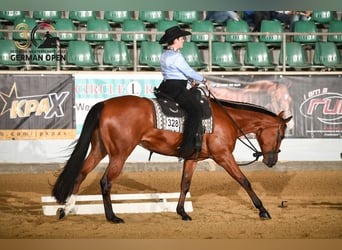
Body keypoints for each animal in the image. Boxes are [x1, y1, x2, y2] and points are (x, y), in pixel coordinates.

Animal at [52, 92, 292, 223]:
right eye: (281, 134)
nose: (272, 161)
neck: (227, 118)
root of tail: (105, 104)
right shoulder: (223, 156)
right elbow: (244, 180)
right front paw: (263, 210)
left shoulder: (192, 159)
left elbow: (185, 184)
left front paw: (182, 212)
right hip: (119, 154)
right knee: (105, 181)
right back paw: (112, 217)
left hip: (99, 149)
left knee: (81, 174)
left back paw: (67, 209)